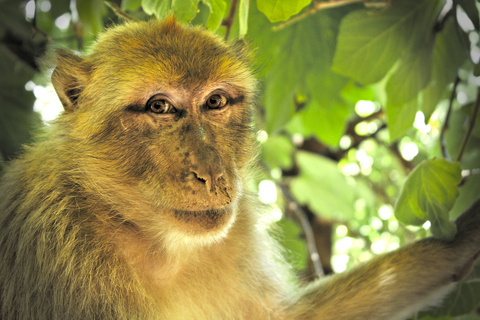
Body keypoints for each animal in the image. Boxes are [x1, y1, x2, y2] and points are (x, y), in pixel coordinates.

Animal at [0, 17, 478, 320]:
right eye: (160, 107)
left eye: (215, 101)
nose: (213, 173)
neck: (146, 235)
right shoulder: (55, 243)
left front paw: (462, 241)